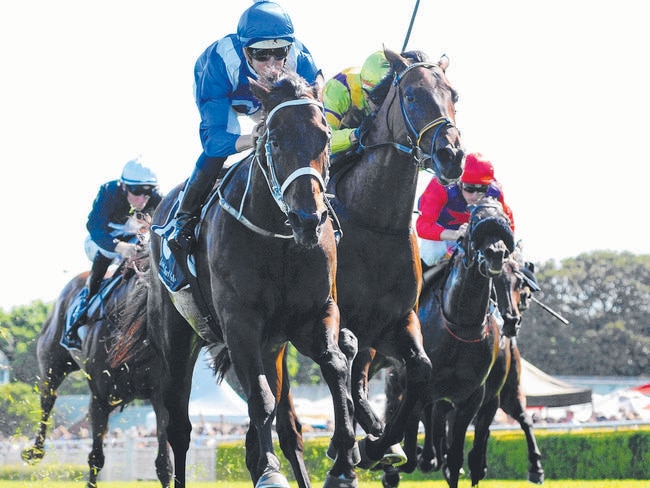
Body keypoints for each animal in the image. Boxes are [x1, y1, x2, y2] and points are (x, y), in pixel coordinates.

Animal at [21, 216, 172, 488]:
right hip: (52, 364)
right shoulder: (99, 397)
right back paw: (35, 451)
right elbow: (95, 458)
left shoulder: (159, 395)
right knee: (48, 399)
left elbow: (164, 463)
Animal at [146, 71, 354, 488]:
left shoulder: (316, 313)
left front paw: (341, 461)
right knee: (178, 425)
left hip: (272, 347)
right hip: (178, 337)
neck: (280, 239)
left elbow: (335, 364)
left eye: (324, 137)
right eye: (274, 141)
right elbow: (260, 399)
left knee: (286, 422)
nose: (309, 219)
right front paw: (270, 471)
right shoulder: (240, 322)